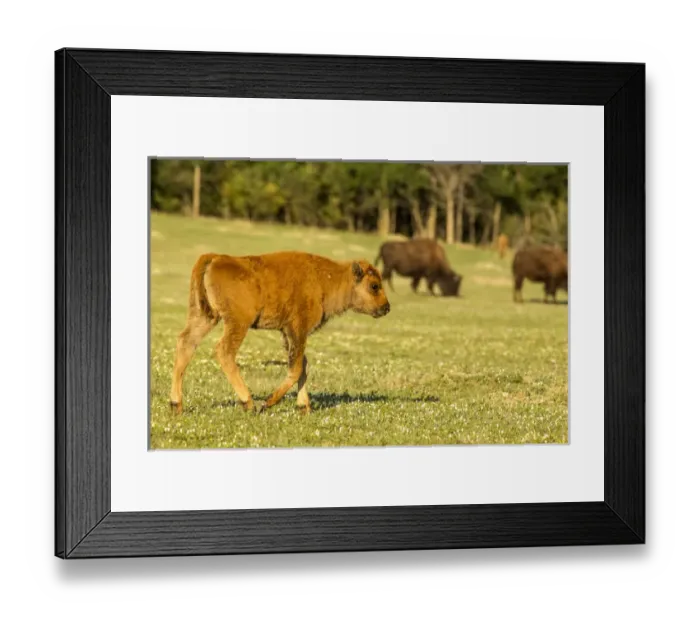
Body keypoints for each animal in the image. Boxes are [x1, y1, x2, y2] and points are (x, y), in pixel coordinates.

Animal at [169, 251, 391, 415]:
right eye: (374, 286)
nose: (386, 307)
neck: (326, 279)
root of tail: (216, 257)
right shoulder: (297, 330)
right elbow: (296, 367)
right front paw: (269, 403)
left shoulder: (287, 334)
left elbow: (303, 366)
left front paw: (304, 407)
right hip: (237, 323)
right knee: (224, 351)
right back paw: (249, 403)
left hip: (205, 317)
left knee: (186, 343)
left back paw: (176, 405)